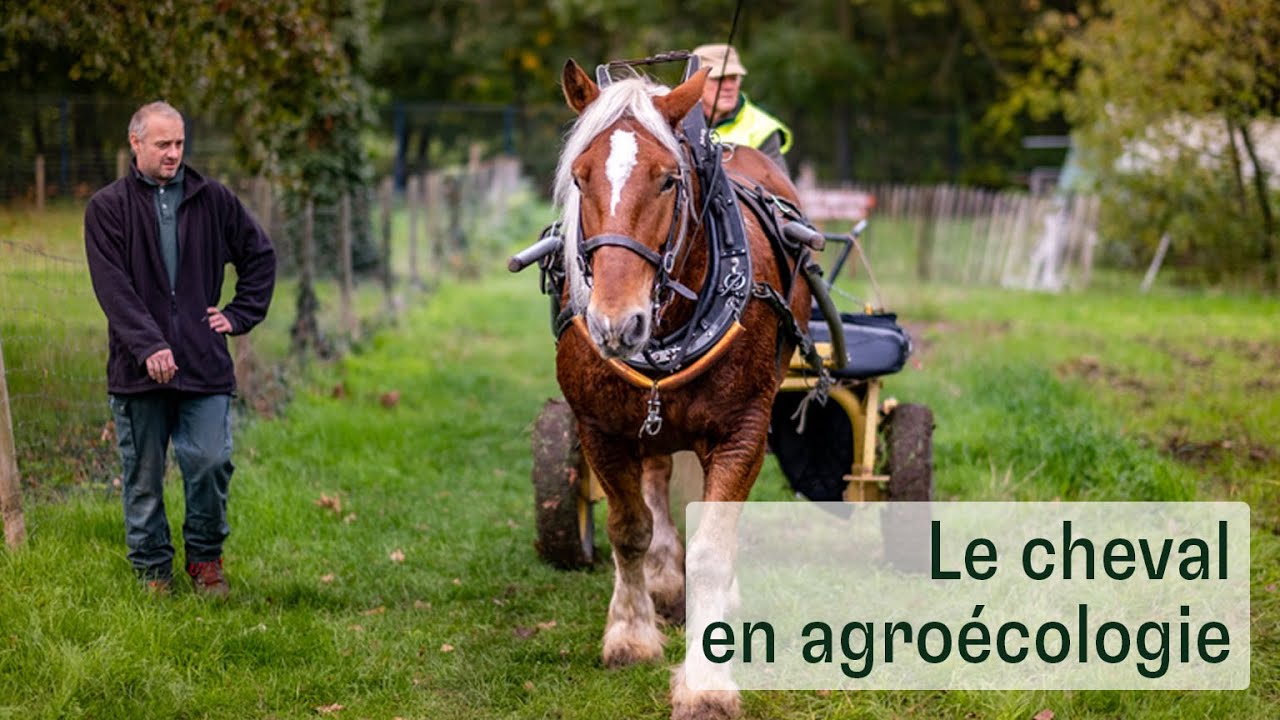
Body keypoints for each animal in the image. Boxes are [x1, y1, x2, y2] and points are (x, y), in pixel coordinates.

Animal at [552, 58, 812, 719]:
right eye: (580, 176)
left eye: (668, 179)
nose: (616, 322)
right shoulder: (601, 427)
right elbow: (629, 529)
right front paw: (631, 633)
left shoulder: (743, 428)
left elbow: (715, 548)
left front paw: (705, 682)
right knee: (657, 481)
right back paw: (666, 580)